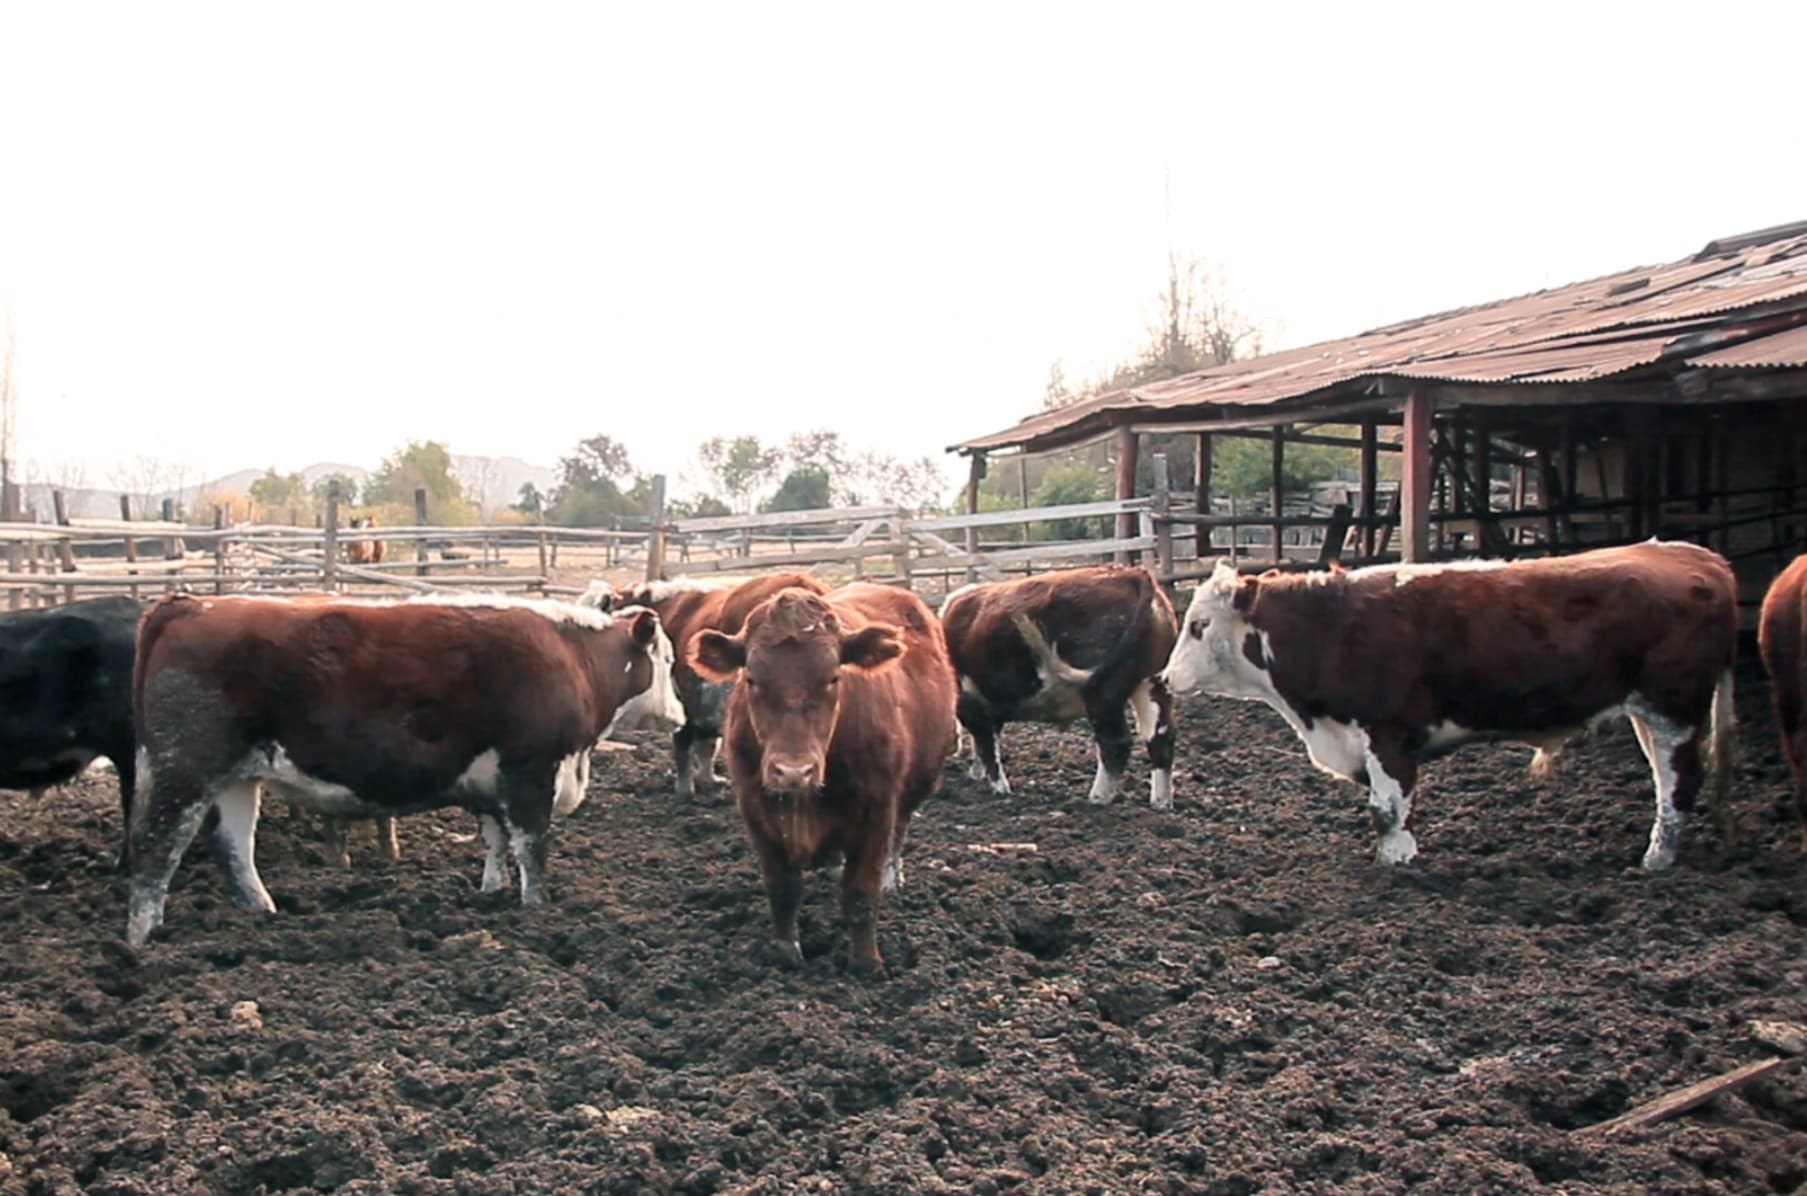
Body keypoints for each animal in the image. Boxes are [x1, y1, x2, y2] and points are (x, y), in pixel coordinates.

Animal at [123, 591, 684, 947]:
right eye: (668, 660)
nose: (680, 714)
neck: (572, 658)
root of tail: (190, 603)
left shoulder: (495, 780)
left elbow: (495, 838)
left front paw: (492, 891)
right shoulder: (531, 771)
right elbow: (532, 847)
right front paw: (535, 908)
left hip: (236, 779)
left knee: (234, 844)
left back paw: (262, 914)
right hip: (184, 770)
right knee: (154, 850)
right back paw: (143, 940)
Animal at [691, 583, 957, 974]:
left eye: (833, 677)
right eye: (751, 679)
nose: (793, 771)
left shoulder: (878, 811)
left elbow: (861, 893)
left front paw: (866, 963)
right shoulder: (756, 813)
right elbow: (782, 890)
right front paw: (786, 954)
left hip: (917, 786)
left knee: (899, 833)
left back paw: (892, 878)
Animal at [938, 564, 1179, 808]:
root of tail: (1131, 573)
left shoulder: (970, 703)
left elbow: (986, 745)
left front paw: (999, 788)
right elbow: (985, 741)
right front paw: (977, 774)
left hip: (1103, 693)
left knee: (1115, 743)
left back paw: (1097, 798)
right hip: (1152, 683)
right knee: (1160, 737)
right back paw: (1161, 802)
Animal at [1161, 541, 1739, 871]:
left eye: (1199, 625)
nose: (1166, 677)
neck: (1330, 628)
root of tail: (1699, 556)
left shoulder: (1388, 735)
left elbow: (1386, 809)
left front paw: (1396, 865)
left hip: (1673, 709)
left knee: (1679, 782)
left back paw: (1656, 860)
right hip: (1649, 713)